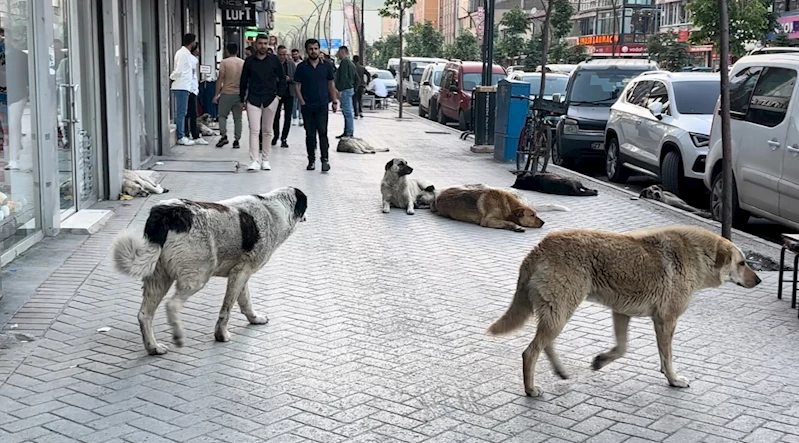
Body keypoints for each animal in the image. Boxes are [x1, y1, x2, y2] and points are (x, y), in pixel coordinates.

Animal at [112, 187, 310, 358]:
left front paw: (254, 319)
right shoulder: (240, 273)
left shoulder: (241, 272)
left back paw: (153, 347)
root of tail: (167, 212)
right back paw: (178, 336)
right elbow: (226, 309)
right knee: (172, 305)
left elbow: (245, 301)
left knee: (144, 315)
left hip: (159, 277)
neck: (274, 208)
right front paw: (221, 335)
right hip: (198, 276)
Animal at [488, 227, 764, 398]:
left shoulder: (622, 313)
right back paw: (530, 388)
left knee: (544, 345)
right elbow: (667, 356)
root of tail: (539, 247)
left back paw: (560, 371)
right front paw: (673, 379)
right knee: (530, 352)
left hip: (558, 313)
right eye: (742, 263)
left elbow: (622, 348)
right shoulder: (666, 320)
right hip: (561, 312)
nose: (760, 280)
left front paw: (601, 360)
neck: (698, 254)